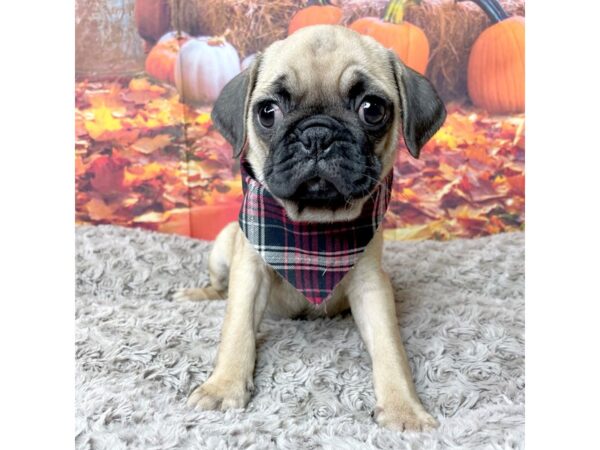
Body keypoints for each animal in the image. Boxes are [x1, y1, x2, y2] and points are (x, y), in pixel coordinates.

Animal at [175, 25, 446, 432]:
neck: (312, 230)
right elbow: (237, 329)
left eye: (372, 109)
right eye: (267, 112)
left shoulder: (370, 285)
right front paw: (223, 387)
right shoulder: (249, 272)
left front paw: (403, 409)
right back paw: (198, 294)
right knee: (220, 289)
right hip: (223, 248)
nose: (317, 135)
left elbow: (390, 347)